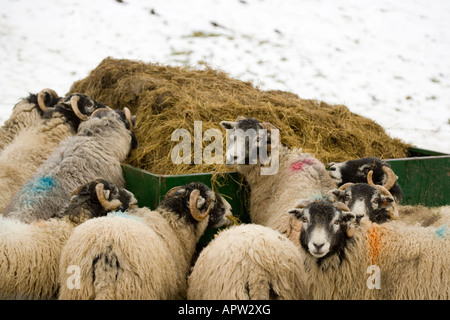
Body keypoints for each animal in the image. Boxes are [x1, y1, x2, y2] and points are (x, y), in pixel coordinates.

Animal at [58, 182, 234, 300]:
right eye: (213, 201)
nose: (230, 209)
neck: (173, 226)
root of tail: (105, 251)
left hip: (76, 291)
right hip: (135, 292)